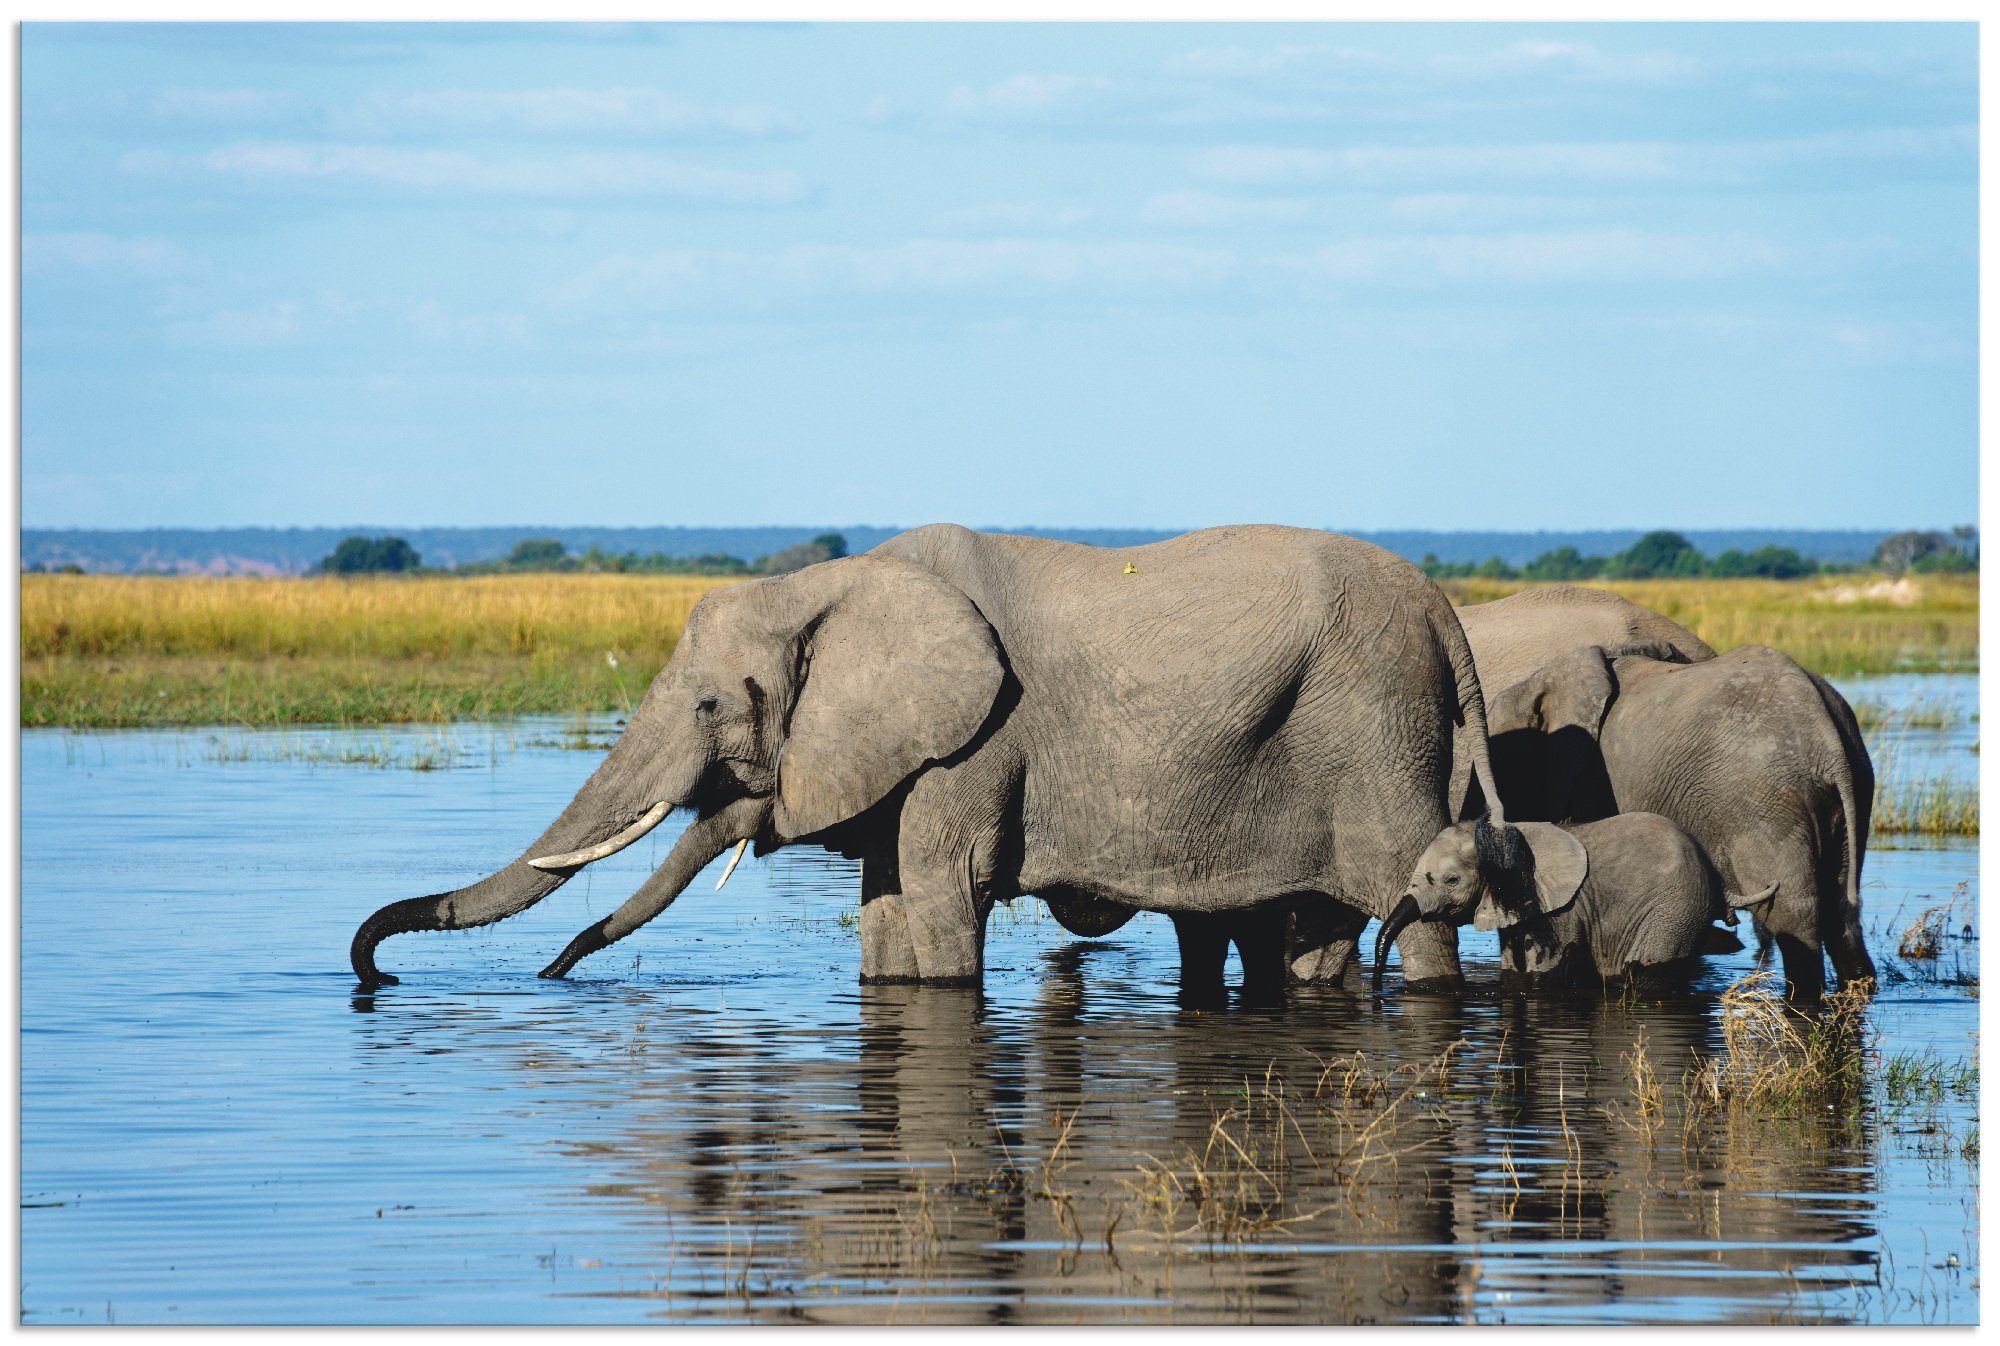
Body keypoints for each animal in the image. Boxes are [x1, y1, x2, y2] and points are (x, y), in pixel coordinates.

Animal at [348, 520, 1504, 992]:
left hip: (1372, 727)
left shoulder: (975, 744)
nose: (374, 969)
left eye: (713, 702)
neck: (830, 581)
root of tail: (1444, 613)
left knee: (1413, 915)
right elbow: (885, 907)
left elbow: (946, 897)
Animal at [1376, 812, 1768, 992]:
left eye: (1452, 880)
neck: (1506, 835)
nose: (1378, 987)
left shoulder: (1561, 909)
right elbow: (1514, 972)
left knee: (1648, 972)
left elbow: (1545, 973)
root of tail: (1716, 877)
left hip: (1675, 910)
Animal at [1488, 640, 1872, 996]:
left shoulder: (1591, 778)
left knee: (1791, 915)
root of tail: (1826, 739)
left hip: (1763, 799)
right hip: (1851, 789)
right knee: (1843, 910)